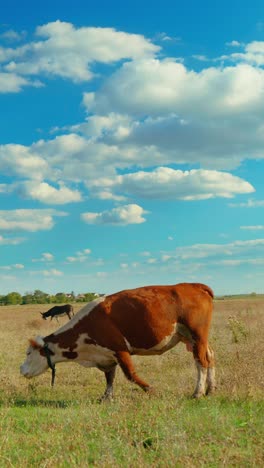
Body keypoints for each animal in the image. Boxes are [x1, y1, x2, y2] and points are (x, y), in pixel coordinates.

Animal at [20, 284, 214, 400]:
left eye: (28, 353)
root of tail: (193, 285)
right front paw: (106, 397)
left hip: (197, 336)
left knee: (201, 362)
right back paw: (211, 389)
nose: (21, 369)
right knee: (210, 357)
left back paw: (198, 392)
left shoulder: (120, 350)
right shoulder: (106, 355)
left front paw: (150, 389)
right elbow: (109, 378)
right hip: (193, 339)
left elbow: (130, 375)